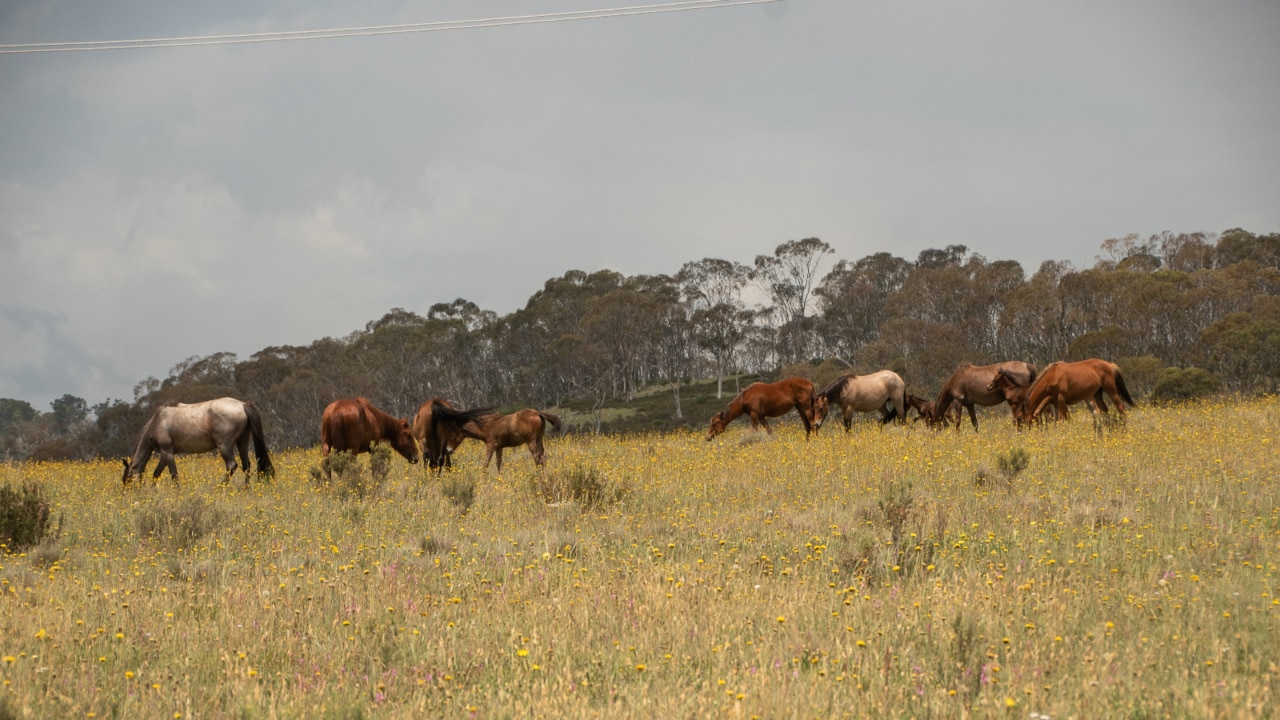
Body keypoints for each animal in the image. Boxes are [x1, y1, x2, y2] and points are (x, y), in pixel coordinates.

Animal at [120, 394, 273, 484]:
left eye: (127, 480)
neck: (158, 420)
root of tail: (242, 405)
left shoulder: (167, 453)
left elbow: (174, 475)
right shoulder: (165, 455)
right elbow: (156, 474)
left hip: (224, 445)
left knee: (231, 465)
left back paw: (221, 487)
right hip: (242, 441)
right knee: (246, 466)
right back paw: (245, 489)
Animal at [430, 404, 560, 471]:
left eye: (451, 432)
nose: (448, 450)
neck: (486, 426)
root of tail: (538, 413)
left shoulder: (490, 446)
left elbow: (485, 465)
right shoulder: (499, 448)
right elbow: (498, 464)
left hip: (531, 442)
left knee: (537, 459)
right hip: (539, 439)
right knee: (543, 457)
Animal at [1003, 356, 1136, 422]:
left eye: (1020, 418)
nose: (1023, 433)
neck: (1052, 376)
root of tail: (1109, 364)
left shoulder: (1061, 399)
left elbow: (1062, 419)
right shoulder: (1056, 402)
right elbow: (1061, 420)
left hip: (1111, 390)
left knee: (1121, 409)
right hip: (1098, 394)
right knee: (1104, 411)